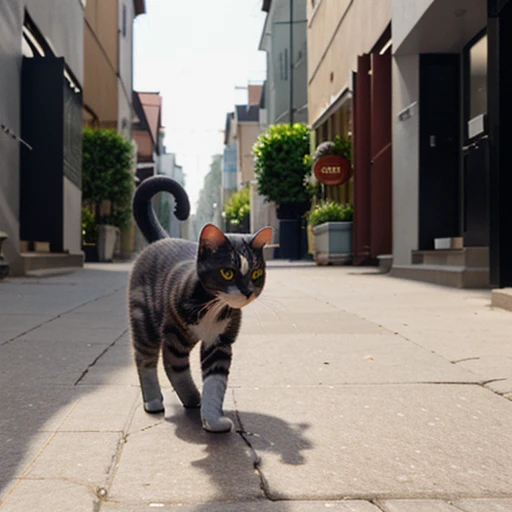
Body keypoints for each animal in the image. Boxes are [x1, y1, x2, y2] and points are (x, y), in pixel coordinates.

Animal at [128, 176, 272, 432]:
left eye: (256, 274)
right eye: (227, 272)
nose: (247, 292)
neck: (213, 307)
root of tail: (163, 239)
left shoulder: (220, 342)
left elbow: (215, 381)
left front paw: (212, 419)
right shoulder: (175, 335)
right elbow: (173, 365)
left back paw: (193, 398)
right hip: (144, 319)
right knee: (147, 358)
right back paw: (154, 400)